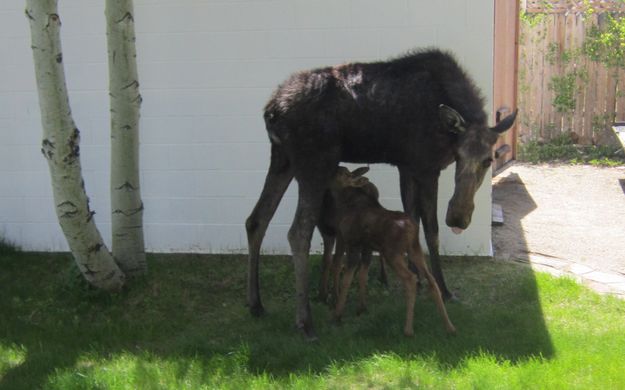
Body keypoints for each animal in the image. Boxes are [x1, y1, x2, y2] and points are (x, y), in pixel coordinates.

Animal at [246, 48, 516, 338]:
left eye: (488, 160)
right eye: (459, 155)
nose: (458, 218)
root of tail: (271, 111)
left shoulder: (406, 166)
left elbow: (412, 219)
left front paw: (417, 278)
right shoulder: (426, 167)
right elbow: (431, 230)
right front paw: (443, 289)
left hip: (282, 159)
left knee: (256, 220)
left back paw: (256, 304)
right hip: (315, 163)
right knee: (298, 233)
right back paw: (306, 322)